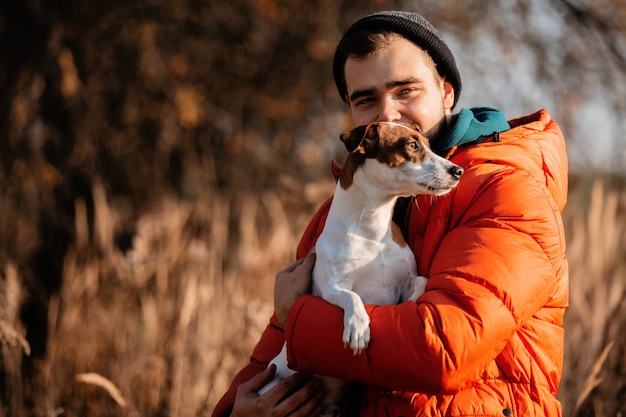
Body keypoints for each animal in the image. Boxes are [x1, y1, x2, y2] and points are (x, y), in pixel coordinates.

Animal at [256, 120, 460, 412]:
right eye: (411, 145)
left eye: (429, 145)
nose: (458, 170)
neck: (372, 229)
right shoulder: (331, 287)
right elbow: (352, 297)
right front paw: (358, 327)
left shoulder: (405, 278)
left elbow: (420, 281)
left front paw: (413, 299)